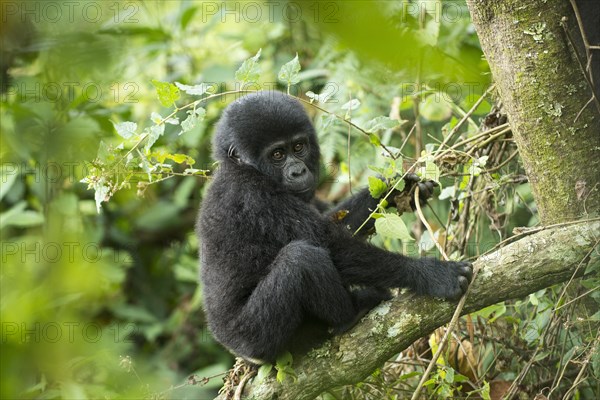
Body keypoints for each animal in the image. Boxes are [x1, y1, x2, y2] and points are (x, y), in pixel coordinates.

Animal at [199, 90, 472, 362]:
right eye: (277, 155)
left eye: (298, 147)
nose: (298, 172)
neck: (239, 166)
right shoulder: (256, 195)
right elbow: (332, 245)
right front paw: (432, 274)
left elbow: (339, 224)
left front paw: (396, 189)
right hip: (254, 338)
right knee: (301, 259)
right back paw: (350, 314)